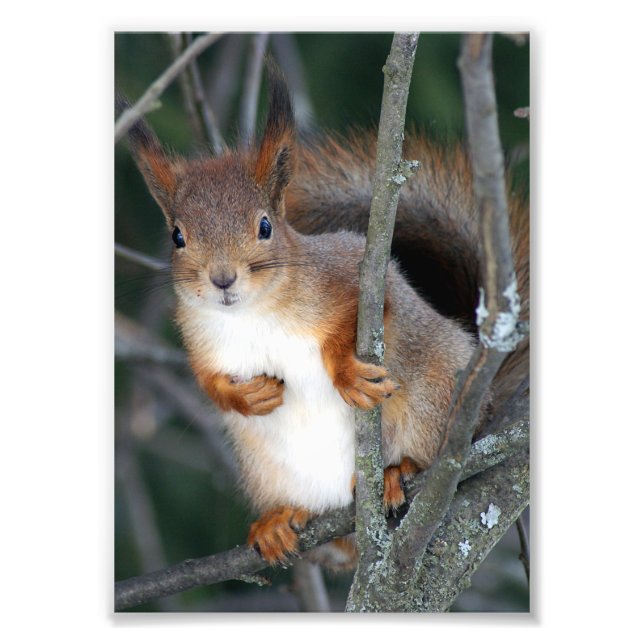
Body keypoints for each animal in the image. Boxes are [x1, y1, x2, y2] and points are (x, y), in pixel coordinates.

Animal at [122, 63, 529, 569]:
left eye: (265, 226)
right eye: (177, 236)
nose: (222, 280)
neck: (252, 314)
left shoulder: (352, 269)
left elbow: (363, 314)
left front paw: (346, 373)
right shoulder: (200, 338)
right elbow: (207, 380)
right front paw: (244, 397)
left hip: (434, 401)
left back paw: (398, 471)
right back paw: (281, 522)